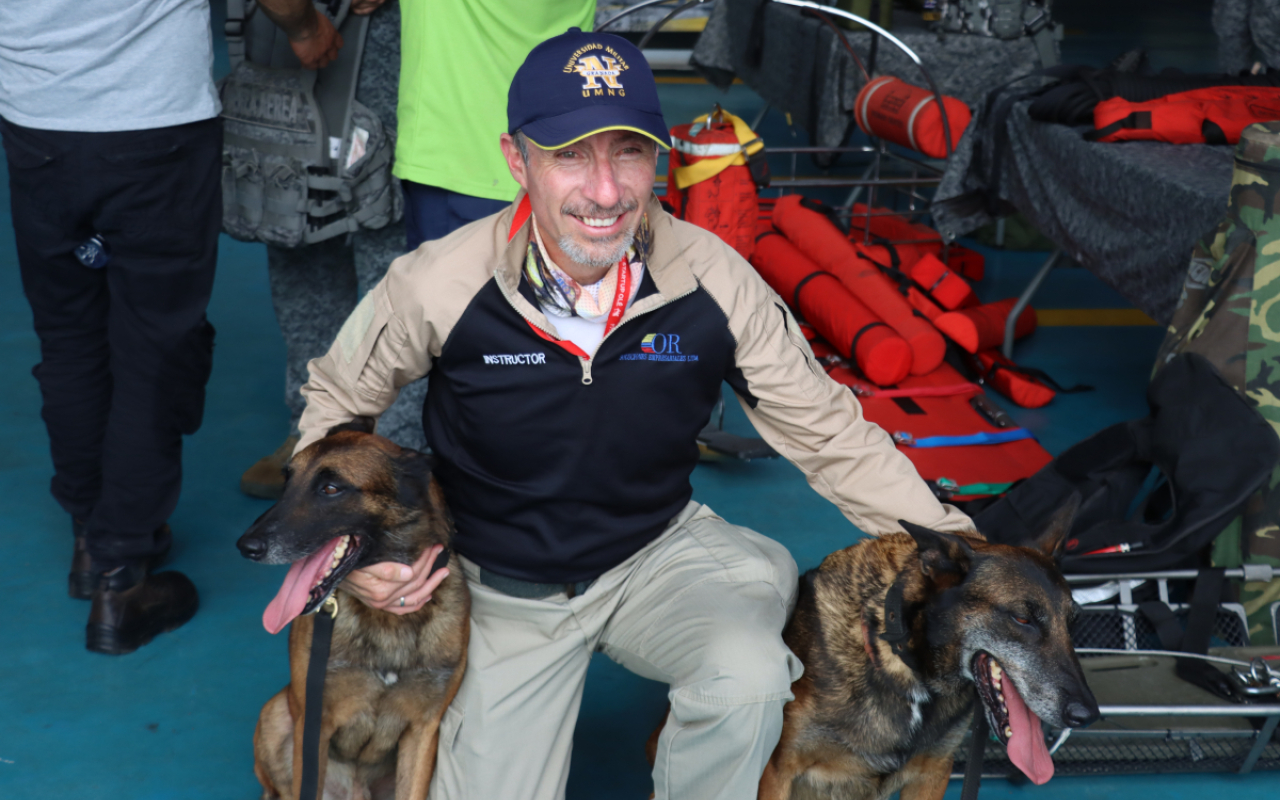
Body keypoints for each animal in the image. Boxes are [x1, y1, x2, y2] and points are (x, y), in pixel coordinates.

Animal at [236, 424, 471, 798]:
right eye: (287, 482)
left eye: (331, 489)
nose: (246, 547)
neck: (386, 619)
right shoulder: (313, 722)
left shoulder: (424, 730)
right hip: (275, 714)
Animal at [757, 509, 1100, 793]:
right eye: (1022, 618)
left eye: (1073, 622)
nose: (1088, 716)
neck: (909, 670)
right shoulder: (777, 771)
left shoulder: (933, 773)